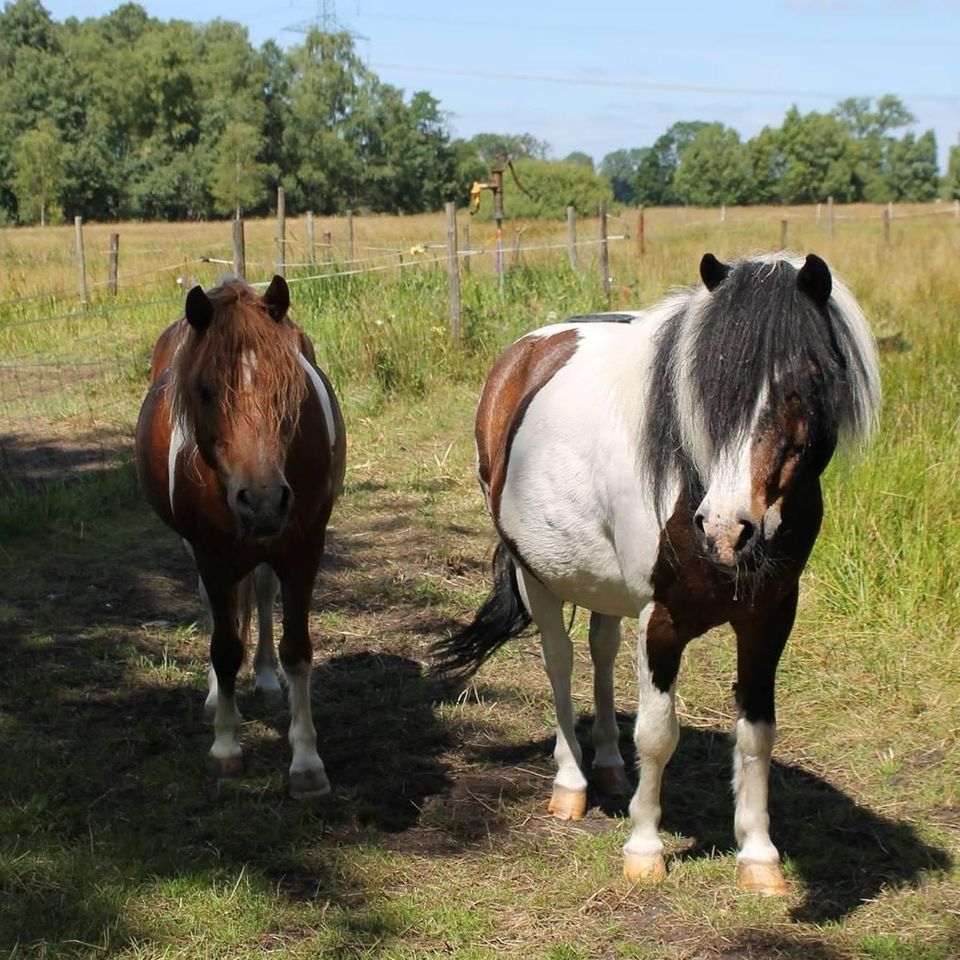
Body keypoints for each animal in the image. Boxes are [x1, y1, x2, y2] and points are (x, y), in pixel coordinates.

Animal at [134, 276, 344, 796]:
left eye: (288, 388)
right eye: (205, 390)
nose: (262, 500)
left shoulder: (303, 549)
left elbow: (298, 650)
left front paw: (306, 761)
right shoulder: (212, 555)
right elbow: (225, 648)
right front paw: (225, 747)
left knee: (263, 593)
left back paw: (266, 679)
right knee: (217, 613)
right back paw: (216, 696)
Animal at [434, 253, 876, 892]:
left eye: (805, 382)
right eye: (705, 389)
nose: (725, 530)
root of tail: (524, 353)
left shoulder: (770, 619)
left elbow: (757, 734)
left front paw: (759, 856)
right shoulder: (662, 619)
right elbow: (658, 733)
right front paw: (645, 848)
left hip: (600, 584)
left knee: (601, 650)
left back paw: (610, 767)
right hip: (536, 575)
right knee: (559, 662)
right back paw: (572, 783)